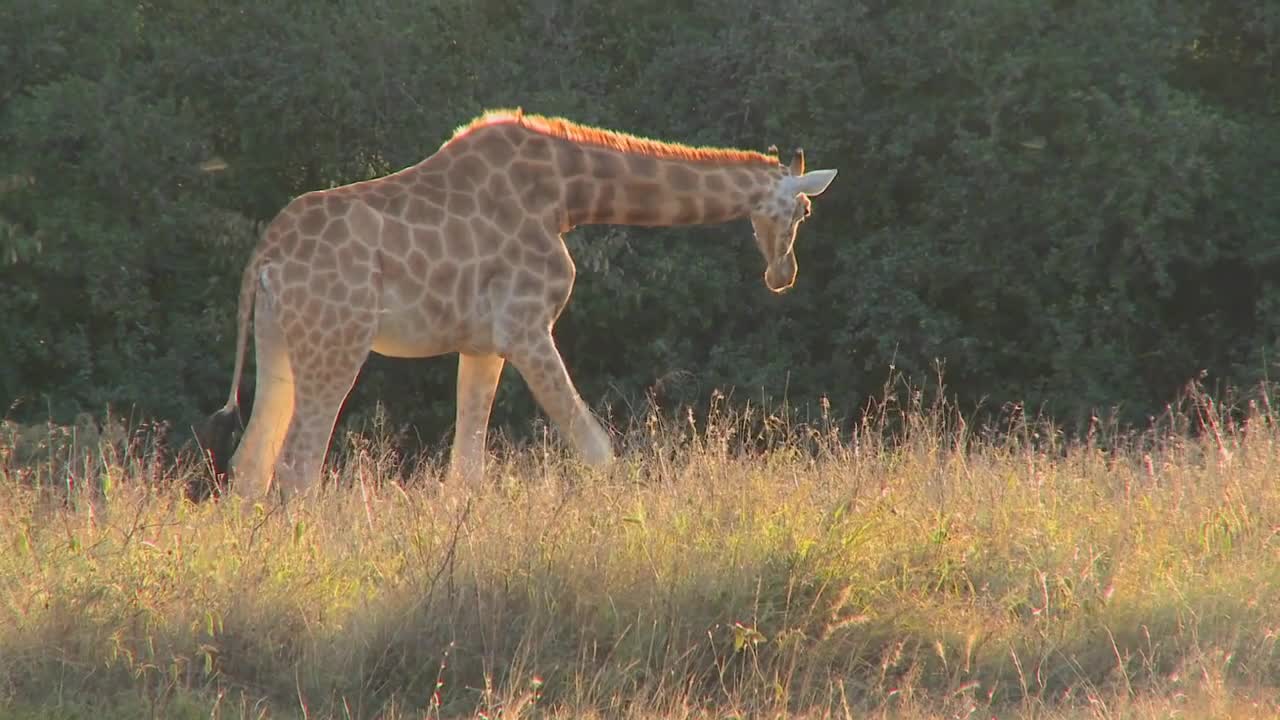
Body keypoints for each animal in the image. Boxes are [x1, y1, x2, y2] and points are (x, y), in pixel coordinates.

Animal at [194, 107, 839, 499]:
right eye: (805, 211)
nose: (783, 275)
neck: (567, 195)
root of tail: (265, 257)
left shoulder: (483, 343)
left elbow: (466, 471)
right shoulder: (527, 328)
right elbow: (596, 448)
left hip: (279, 343)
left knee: (250, 463)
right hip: (337, 343)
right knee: (297, 465)